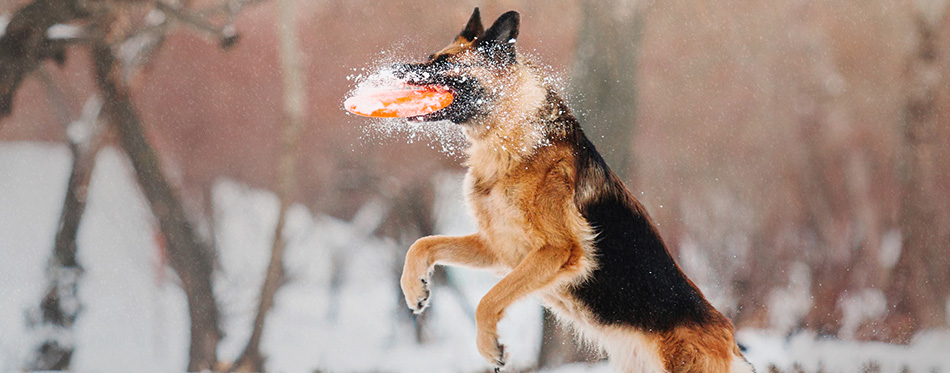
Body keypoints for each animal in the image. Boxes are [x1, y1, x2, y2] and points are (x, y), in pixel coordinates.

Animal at [394, 8, 752, 372]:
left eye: (444, 63)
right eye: (430, 57)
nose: (396, 70)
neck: (510, 139)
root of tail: (732, 344)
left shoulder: (557, 250)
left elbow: (489, 298)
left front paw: (489, 347)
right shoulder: (499, 248)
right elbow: (423, 244)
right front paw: (414, 289)